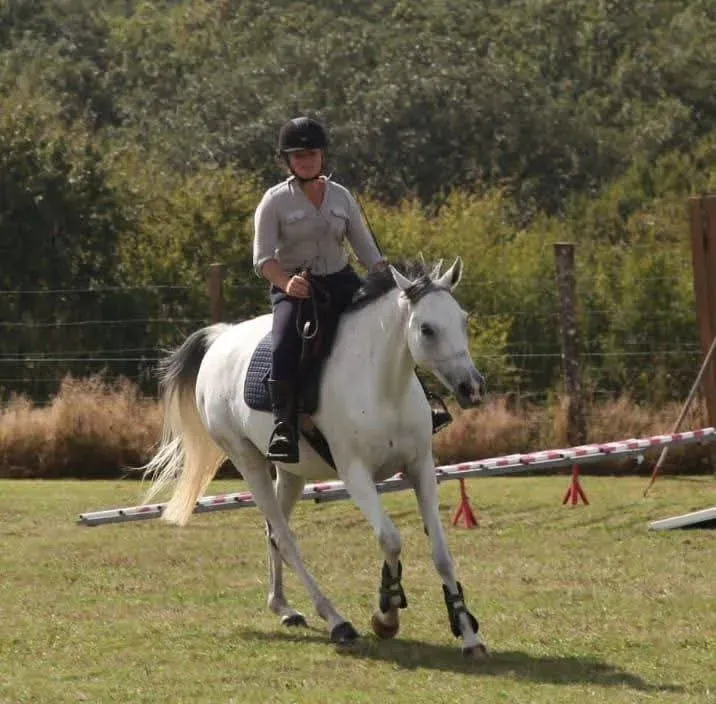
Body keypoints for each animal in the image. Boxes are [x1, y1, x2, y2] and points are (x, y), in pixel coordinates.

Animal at [142, 257, 489, 657]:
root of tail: (220, 339)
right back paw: (336, 620)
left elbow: (441, 553)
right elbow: (390, 539)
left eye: (462, 319)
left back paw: (283, 606)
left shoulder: (421, 468)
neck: (383, 387)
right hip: (249, 463)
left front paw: (467, 631)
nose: (473, 388)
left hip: (291, 473)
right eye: (427, 329)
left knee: (273, 533)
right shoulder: (355, 474)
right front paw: (386, 615)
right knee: (286, 539)